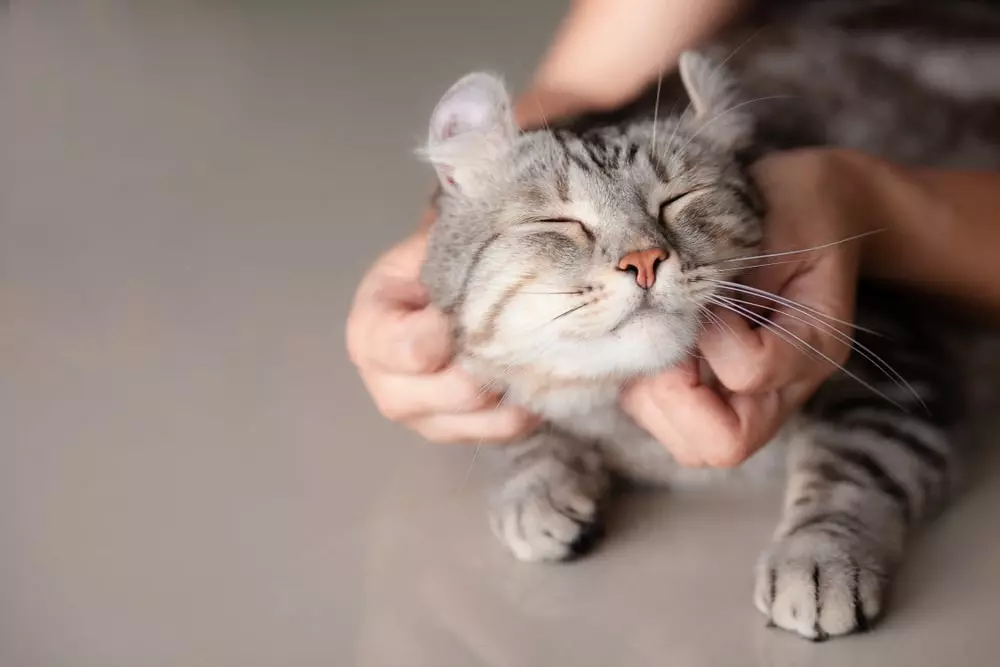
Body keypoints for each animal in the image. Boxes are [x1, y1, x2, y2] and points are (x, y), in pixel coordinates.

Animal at [412, 1, 1000, 648]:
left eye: (680, 200)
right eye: (560, 222)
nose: (643, 260)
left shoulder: (899, 369)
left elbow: (849, 471)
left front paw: (817, 559)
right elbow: (515, 429)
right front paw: (538, 489)